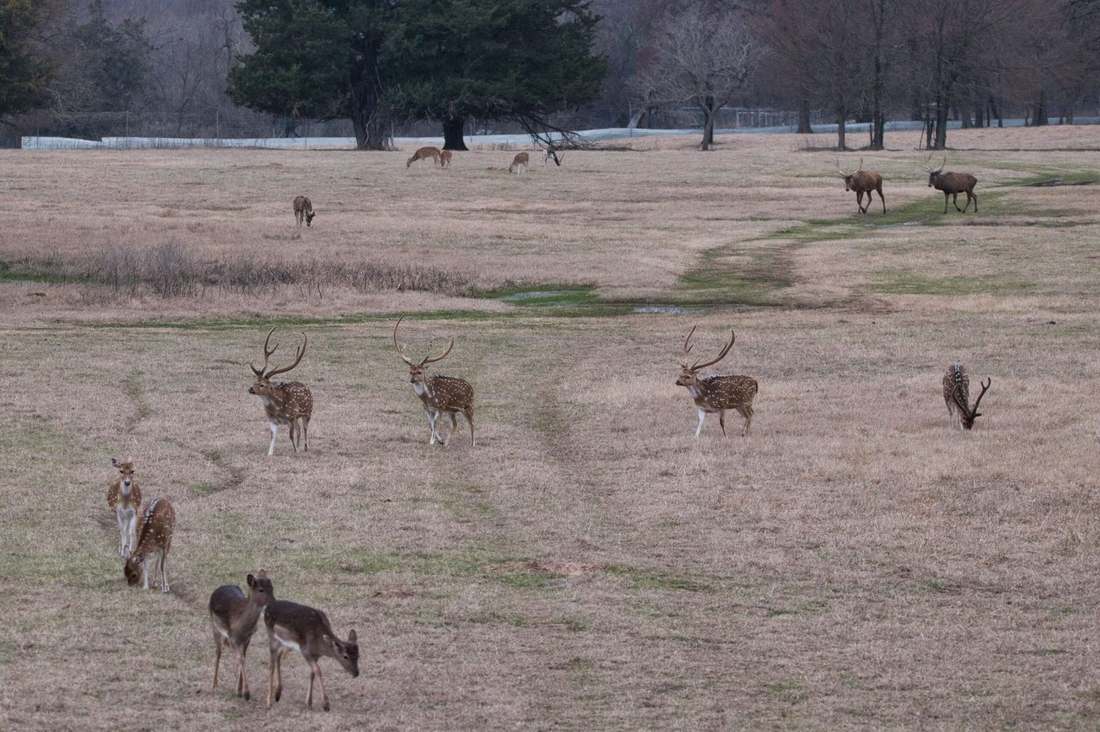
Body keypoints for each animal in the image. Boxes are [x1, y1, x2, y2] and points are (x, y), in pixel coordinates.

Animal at [209, 570, 275, 701]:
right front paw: (246, 693)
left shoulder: (247, 639)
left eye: (272, 587)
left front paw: (239, 690)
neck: (243, 627)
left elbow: (243, 657)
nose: (274, 602)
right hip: (215, 626)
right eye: (261, 590)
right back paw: (214, 684)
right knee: (218, 652)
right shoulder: (233, 637)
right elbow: (241, 659)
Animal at [248, 328, 313, 456]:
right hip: (297, 417)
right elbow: (272, 436)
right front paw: (269, 454)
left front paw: (295, 451)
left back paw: (305, 447)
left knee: (304, 428)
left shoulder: (291, 417)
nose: (250, 389)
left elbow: (291, 435)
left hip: (307, 412)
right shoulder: (272, 420)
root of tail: (306, 386)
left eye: (262, 385)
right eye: (255, 382)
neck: (277, 409)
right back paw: (299, 447)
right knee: (299, 429)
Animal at [393, 316, 475, 447]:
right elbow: (431, 425)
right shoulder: (427, 409)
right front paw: (438, 440)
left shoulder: (440, 407)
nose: (412, 380)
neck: (428, 397)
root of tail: (471, 388)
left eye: (420, 372)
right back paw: (446, 443)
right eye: (410, 371)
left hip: (468, 405)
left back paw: (472, 443)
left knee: (472, 423)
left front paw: (434, 441)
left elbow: (435, 424)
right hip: (452, 411)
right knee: (455, 424)